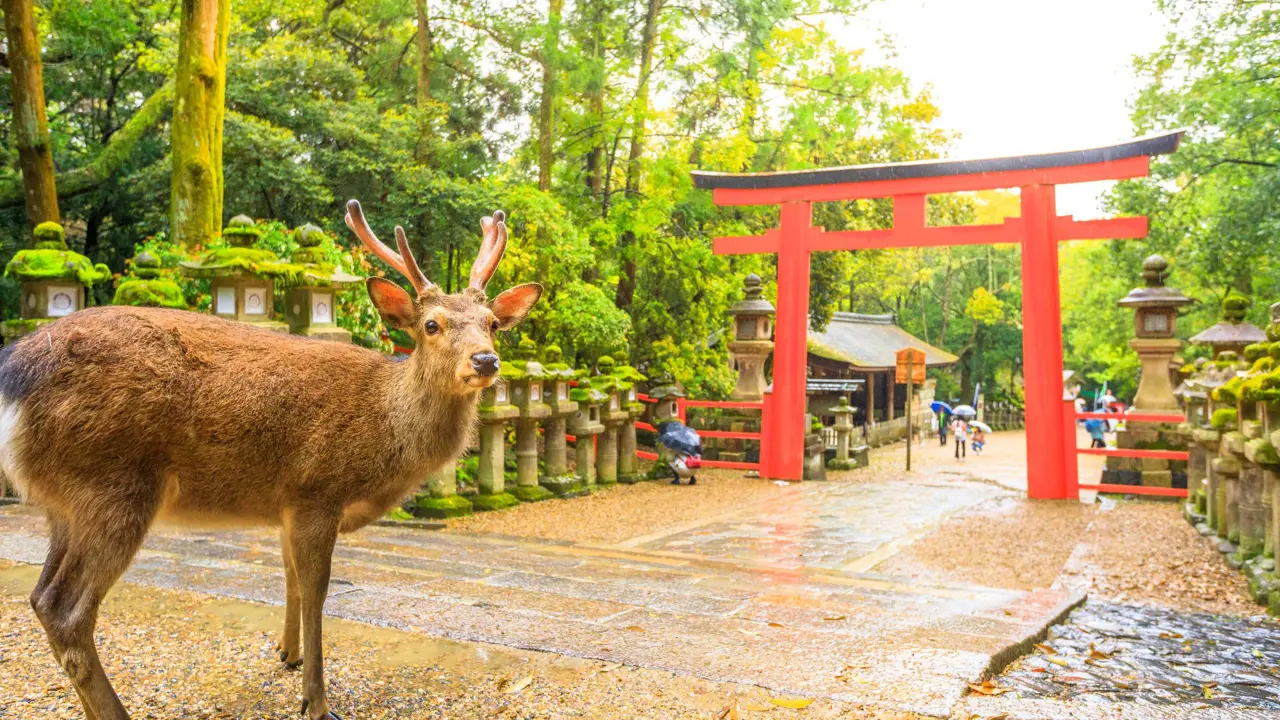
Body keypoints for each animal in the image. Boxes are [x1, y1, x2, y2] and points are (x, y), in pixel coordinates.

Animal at [0, 200, 541, 720]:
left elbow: (291, 580)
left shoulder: (286, 504)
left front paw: (287, 655)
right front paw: (316, 701)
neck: (383, 432)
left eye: (493, 324)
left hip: (66, 502)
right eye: (432, 324)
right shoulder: (317, 490)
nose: (486, 360)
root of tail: (14, 376)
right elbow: (317, 591)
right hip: (114, 483)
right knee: (68, 610)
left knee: (41, 597)